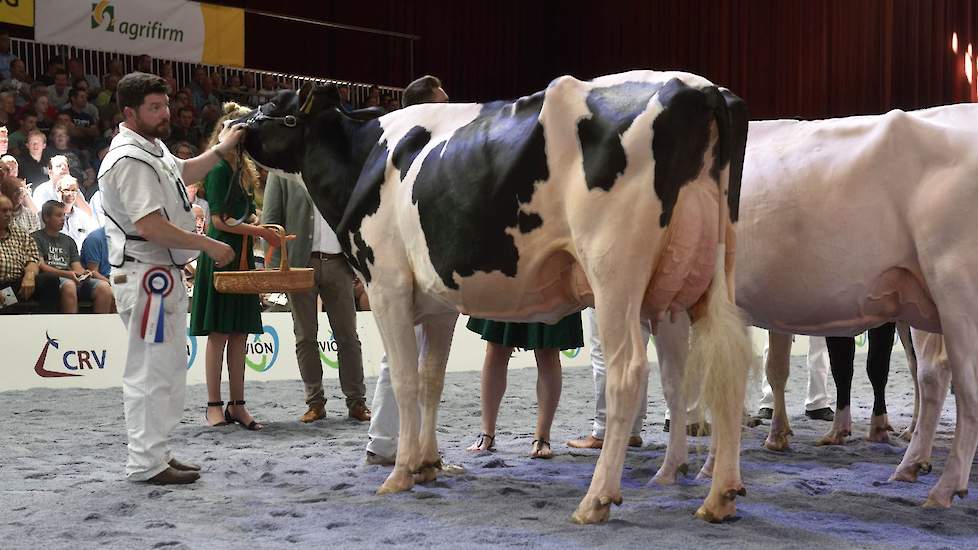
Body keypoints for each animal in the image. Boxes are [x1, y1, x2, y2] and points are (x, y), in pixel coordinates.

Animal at [240, 71, 752, 524]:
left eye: (274, 105)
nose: (235, 126)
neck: (364, 154)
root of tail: (702, 88)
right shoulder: (438, 304)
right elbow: (431, 380)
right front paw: (428, 464)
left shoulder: (387, 285)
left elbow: (406, 381)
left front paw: (401, 473)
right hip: (703, 276)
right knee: (711, 371)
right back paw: (714, 493)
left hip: (615, 272)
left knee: (628, 373)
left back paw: (597, 499)